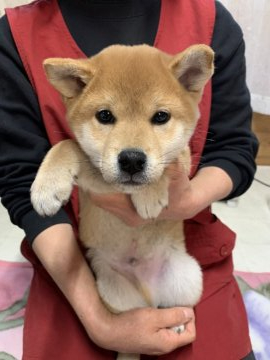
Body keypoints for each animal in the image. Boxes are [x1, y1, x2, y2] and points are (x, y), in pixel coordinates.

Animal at [30, 44, 214, 360]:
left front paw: (150, 194)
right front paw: (47, 186)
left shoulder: (183, 161)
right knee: (133, 331)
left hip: (189, 277)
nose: (131, 159)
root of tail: (148, 292)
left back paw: (177, 323)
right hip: (113, 291)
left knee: (177, 305)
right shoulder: (97, 181)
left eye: (161, 117)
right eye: (104, 116)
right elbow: (67, 145)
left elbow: (169, 162)